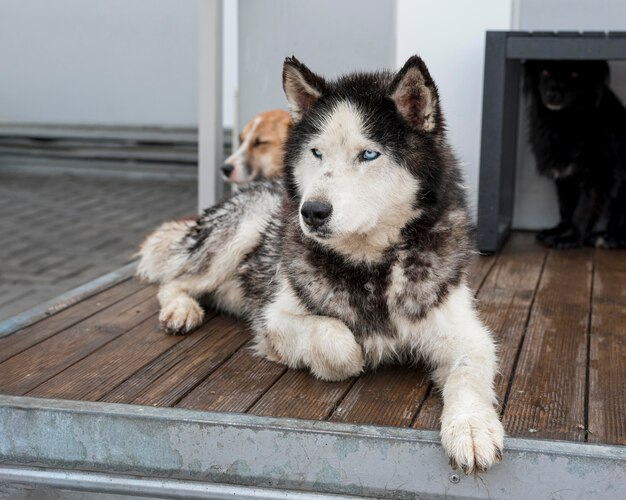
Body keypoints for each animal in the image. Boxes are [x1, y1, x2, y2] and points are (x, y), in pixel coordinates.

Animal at [136, 55, 502, 472]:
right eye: (316, 153)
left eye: (368, 154)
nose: (311, 211)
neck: (371, 268)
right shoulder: (274, 317)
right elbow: (338, 341)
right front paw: (339, 356)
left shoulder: (466, 333)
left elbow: (469, 373)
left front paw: (471, 427)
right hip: (240, 230)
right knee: (175, 279)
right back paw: (181, 310)